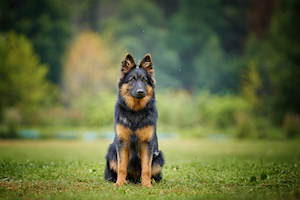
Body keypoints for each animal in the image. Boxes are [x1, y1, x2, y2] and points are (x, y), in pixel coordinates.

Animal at [104, 52, 165, 188]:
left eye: (144, 80)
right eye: (132, 79)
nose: (140, 91)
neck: (135, 111)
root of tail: (135, 180)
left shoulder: (147, 145)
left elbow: (146, 169)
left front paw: (147, 185)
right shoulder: (122, 143)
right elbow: (122, 168)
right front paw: (119, 184)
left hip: (158, 157)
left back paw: (151, 181)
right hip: (111, 153)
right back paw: (126, 181)